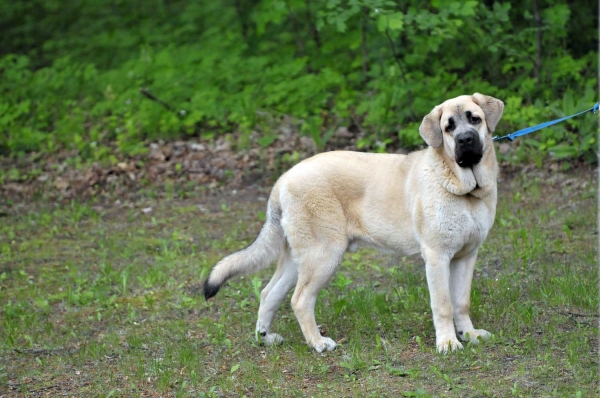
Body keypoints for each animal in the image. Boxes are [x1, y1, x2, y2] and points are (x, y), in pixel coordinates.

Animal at [204, 94, 504, 354]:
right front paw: (448, 342)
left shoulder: (466, 256)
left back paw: (265, 338)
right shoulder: (437, 256)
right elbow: (443, 304)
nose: (465, 139)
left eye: (474, 119)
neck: (464, 190)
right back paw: (317, 343)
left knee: (269, 293)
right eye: (448, 127)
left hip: (298, 258)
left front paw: (469, 334)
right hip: (324, 255)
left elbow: (461, 301)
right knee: (299, 300)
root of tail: (283, 180)